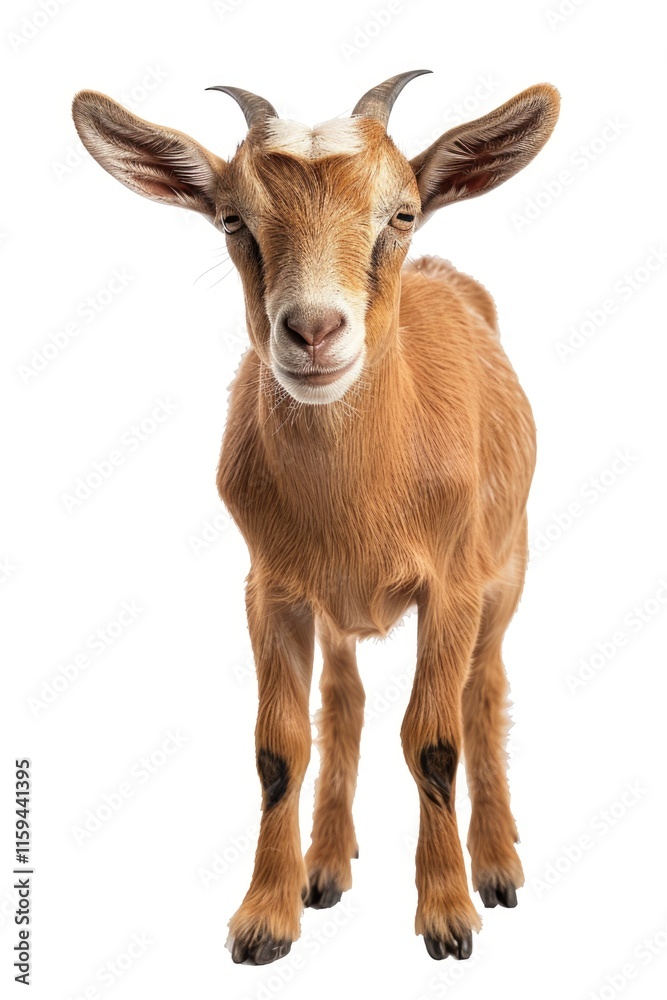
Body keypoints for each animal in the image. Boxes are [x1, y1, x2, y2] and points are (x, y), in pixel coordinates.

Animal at [72, 70, 560, 966]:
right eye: (233, 220)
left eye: (400, 212)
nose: (313, 331)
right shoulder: (271, 589)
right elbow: (278, 749)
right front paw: (265, 918)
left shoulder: (451, 587)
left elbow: (434, 740)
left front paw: (447, 916)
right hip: (336, 610)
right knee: (344, 698)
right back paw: (326, 866)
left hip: (506, 570)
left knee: (484, 690)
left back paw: (496, 864)